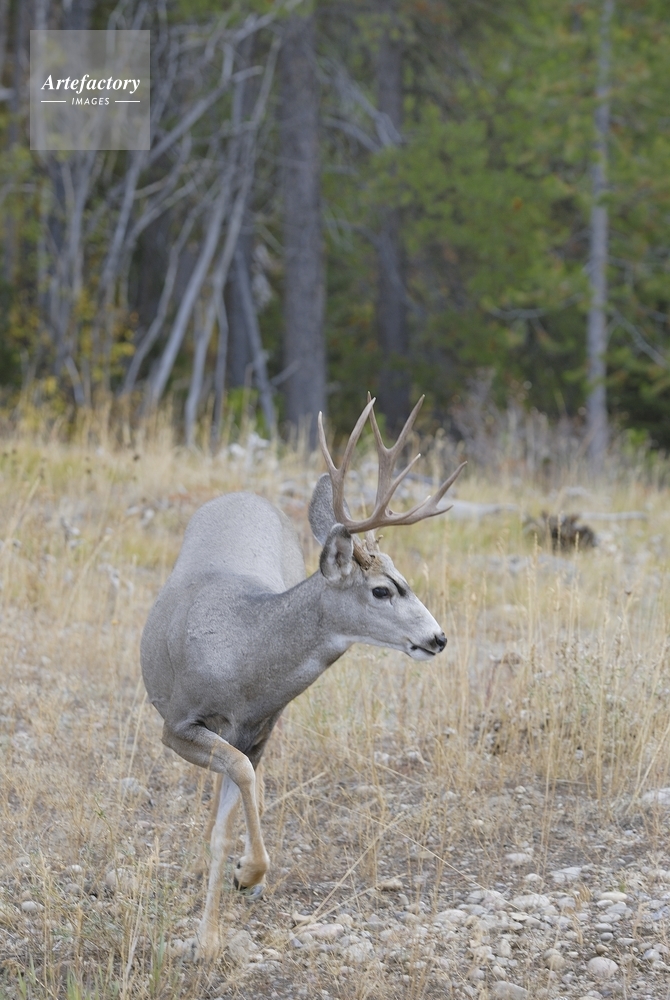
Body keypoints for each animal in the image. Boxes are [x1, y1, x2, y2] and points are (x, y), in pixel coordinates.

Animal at [140, 394, 468, 956]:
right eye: (382, 589)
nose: (438, 637)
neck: (244, 657)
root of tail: (244, 494)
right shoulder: (178, 724)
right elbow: (232, 795)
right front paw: (231, 899)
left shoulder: (258, 733)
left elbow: (232, 806)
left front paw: (241, 885)